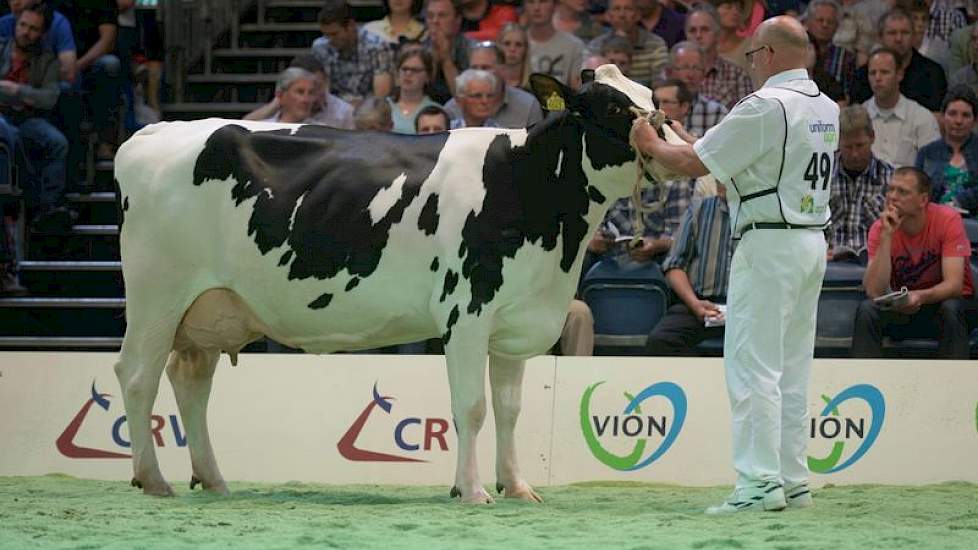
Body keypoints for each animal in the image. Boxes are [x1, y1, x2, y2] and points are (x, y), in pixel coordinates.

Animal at [112, 64, 680, 504]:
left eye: (651, 98)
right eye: (612, 108)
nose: (671, 142)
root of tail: (153, 133)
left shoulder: (514, 318)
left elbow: (510, 409)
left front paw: (517, 487)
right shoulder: (467, 313)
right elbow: (471, 407)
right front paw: (472, 490)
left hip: (209, 308)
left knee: (190, 382)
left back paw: (212, 479)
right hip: (156, 294)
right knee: (138, 375)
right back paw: (152, 478)